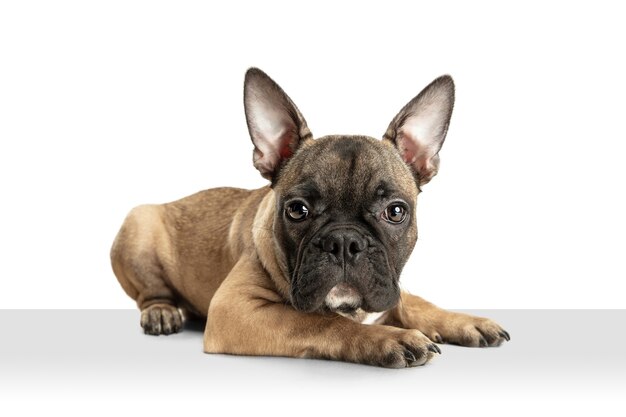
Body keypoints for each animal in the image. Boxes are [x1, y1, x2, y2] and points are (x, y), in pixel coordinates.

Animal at [108, 68, 508, 368]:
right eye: (297, 210)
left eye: (395, 211)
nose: (345, 242)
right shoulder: (234, 309)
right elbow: (319, 321)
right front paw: (386, 338)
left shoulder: (389, 285)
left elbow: (411, 301)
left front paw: (463, 321)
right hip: (139, 224)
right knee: (152, 293)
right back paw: (161, 312)